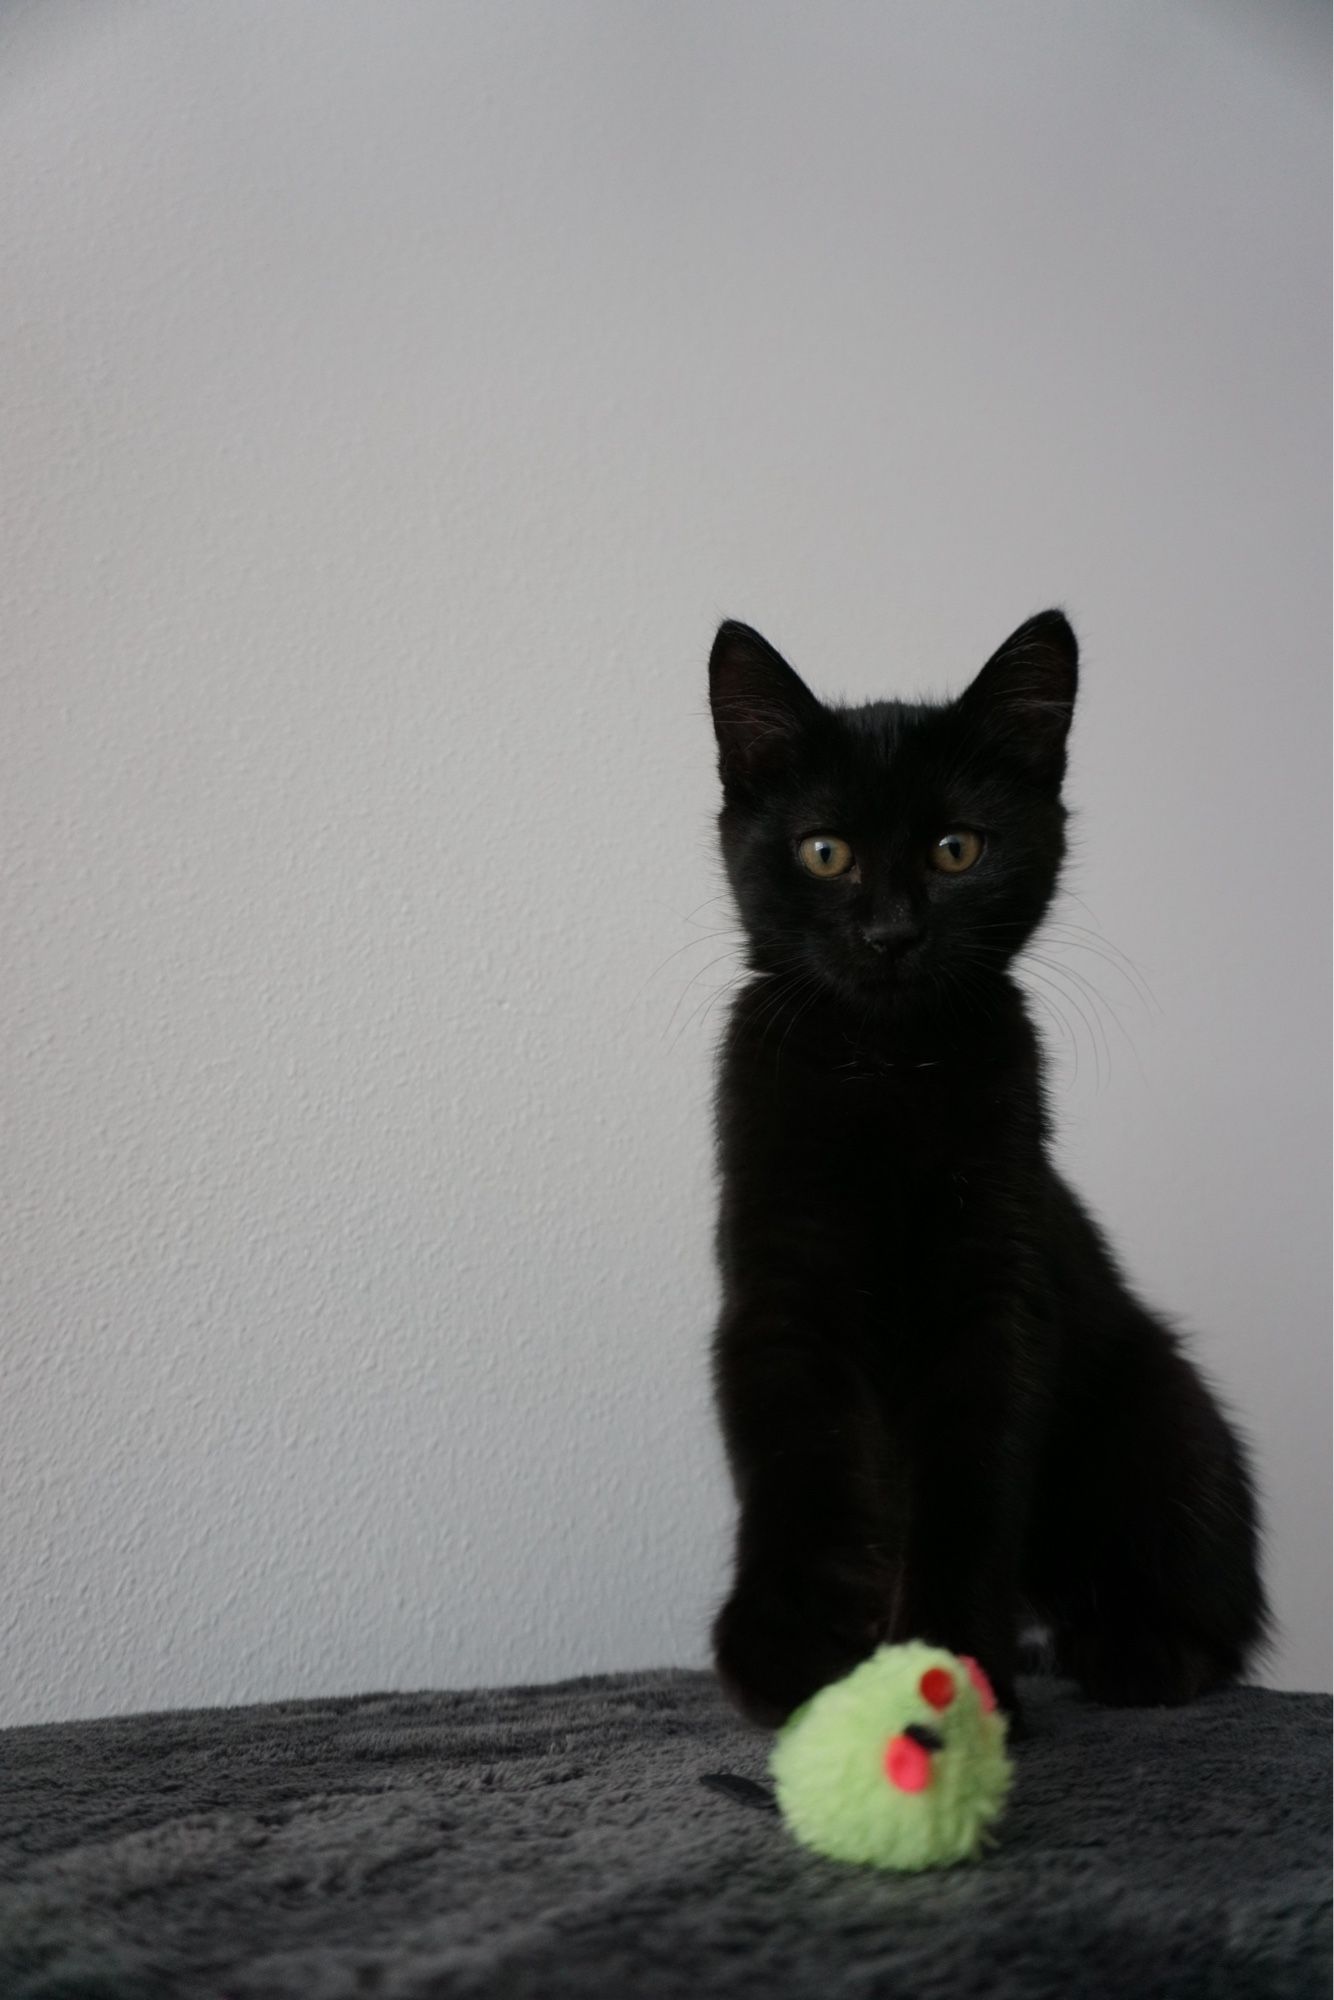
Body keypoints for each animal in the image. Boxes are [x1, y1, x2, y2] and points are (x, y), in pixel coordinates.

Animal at [704, 608, 1272, 1720]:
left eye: (955, 849)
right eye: (824, 851)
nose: (890, 932)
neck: (883, 1064)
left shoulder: (996, 1288)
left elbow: (970, 1481)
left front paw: (947, 1658)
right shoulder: (778, 1289)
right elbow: (796, 1463)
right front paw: (792, 1650)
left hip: (1161, 1404)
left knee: (1206, 1588)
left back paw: (1138, 1647)